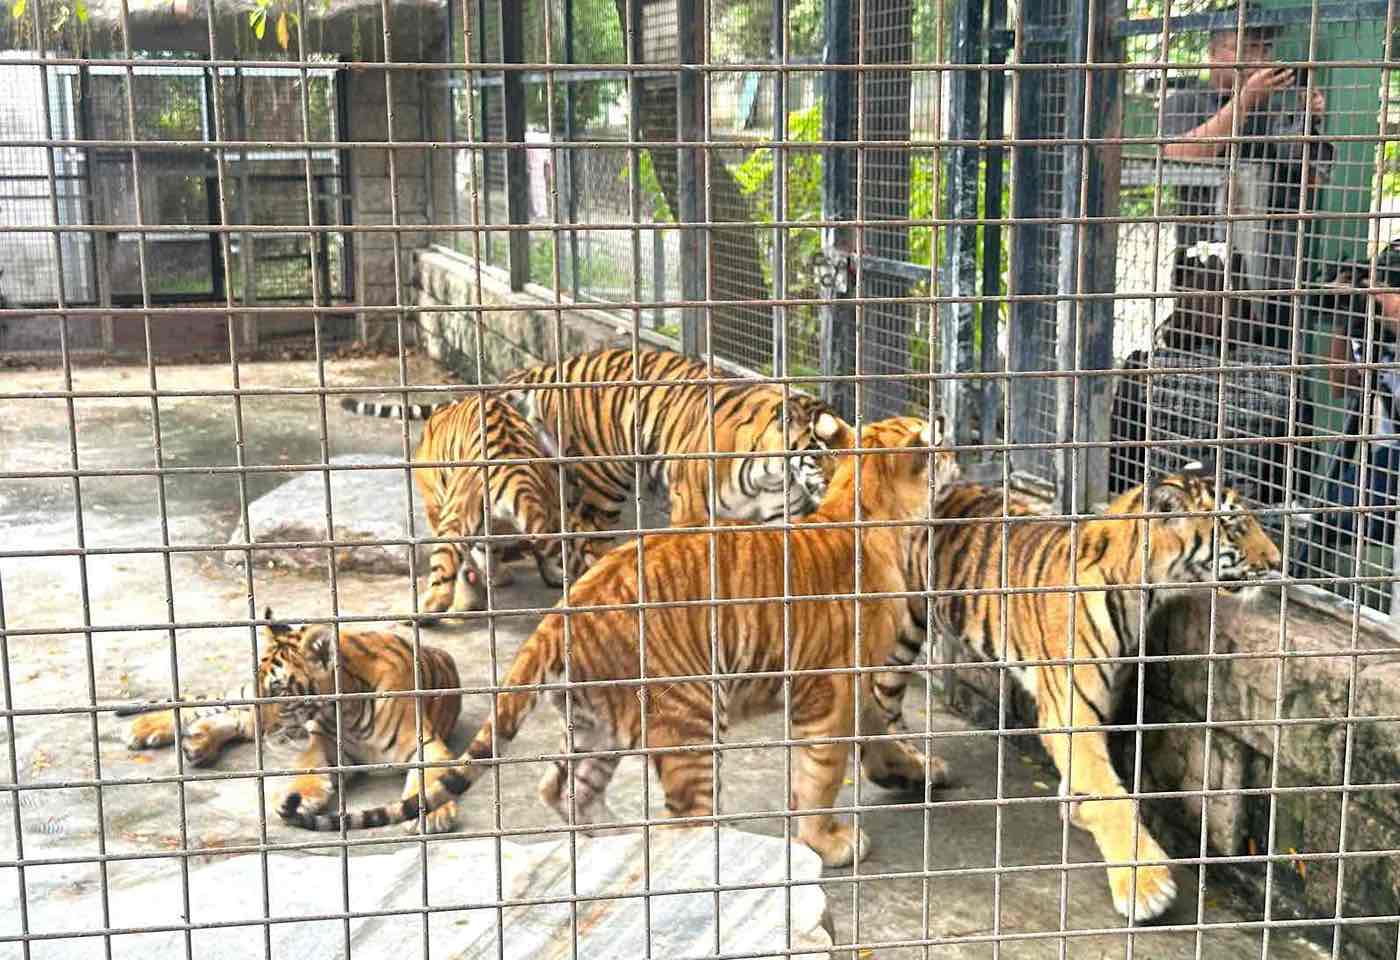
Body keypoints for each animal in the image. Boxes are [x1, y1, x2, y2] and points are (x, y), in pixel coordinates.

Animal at [123, 610, 466, 833]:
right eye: (264, 689)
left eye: (279, 690)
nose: (264, 723)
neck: (347, 709)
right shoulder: (322, 743)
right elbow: (308, 769)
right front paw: (297, 798)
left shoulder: (426, 744)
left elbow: (426, 778)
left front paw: (435, 813)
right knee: (222, 706)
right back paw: (147, 728)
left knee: (238, 721)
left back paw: (197, 743)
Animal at [277, 415, 961, 870]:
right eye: (940, 439)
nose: (958, 442)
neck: (864, 507)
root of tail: (563, 611)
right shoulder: (828, 691)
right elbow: (821, 773)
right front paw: (831, 843)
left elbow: (876, 733)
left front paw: (910, 771)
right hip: (688, 713)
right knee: (685, 815)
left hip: (596, 722)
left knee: (563, 790)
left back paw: (613, 846)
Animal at [341, 393, 607, 613]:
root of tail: (517, 475)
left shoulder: (436, 504)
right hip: (552, 506)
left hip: (453, 517)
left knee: (442, 579)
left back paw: (422, 611)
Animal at [501, 348, 850, 533]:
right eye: (821, 452)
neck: (772, 475)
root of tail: (558, 365)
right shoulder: (692, 512)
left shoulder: (780, 516)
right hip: (604, 481)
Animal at [869, 465, 1282, 922]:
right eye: (1236, 527)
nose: (1277, 562)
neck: (1143, 587)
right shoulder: (1070, 705)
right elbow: (1108, 792)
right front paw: (1145, 885)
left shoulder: (1102, 692)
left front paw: (1075, 805)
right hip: (899, 628)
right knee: (880, 698)